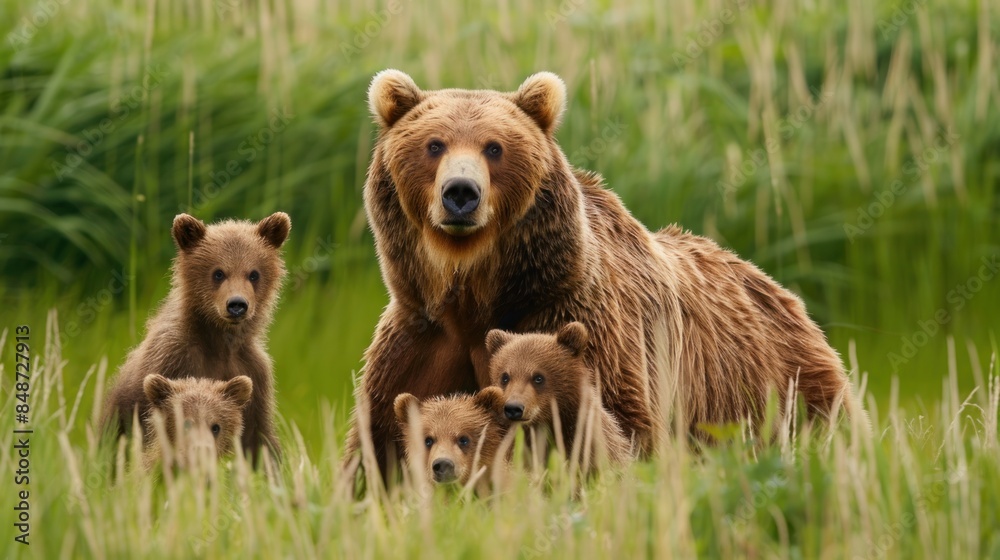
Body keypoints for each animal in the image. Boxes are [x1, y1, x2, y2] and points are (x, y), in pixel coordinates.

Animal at [101, 212, 290, 463]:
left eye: (253, 274)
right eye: (218, 273)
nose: (237, 305)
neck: (219, 342)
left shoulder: (253, 372)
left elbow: (258, 438)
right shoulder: (172, 358)